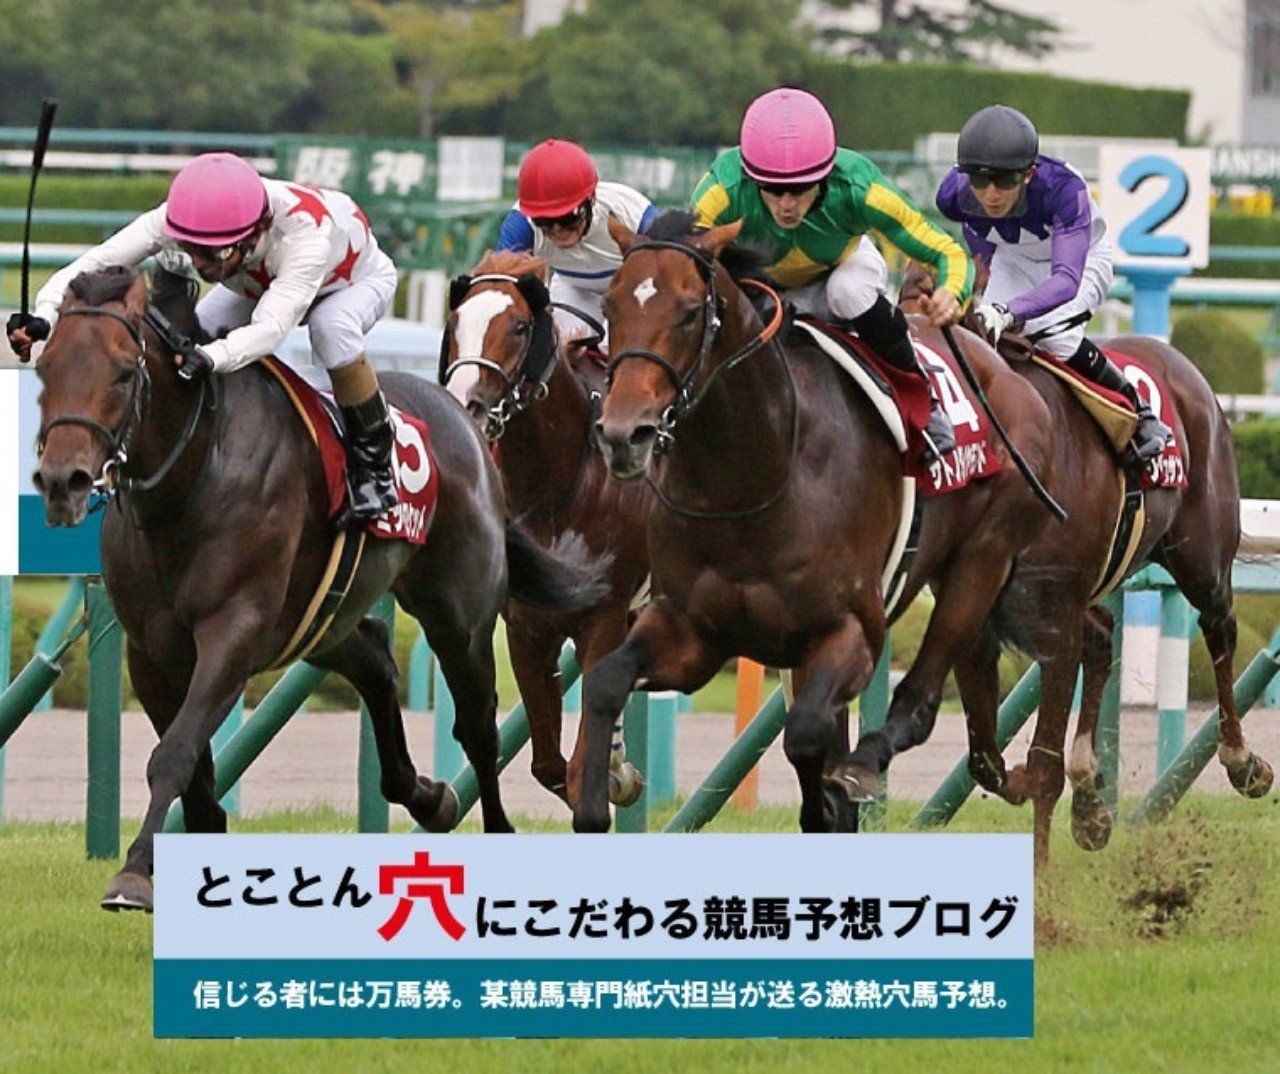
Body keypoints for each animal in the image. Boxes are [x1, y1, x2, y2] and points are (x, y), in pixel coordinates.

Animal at [32, 265, 606, 911]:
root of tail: (466, 421)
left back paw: (496, 829)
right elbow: (196, 773)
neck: (194, 476)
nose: (63, 480)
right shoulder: (151, 651)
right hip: (322, 618)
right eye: (46, 366)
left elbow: (175, 755)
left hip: (459, 614)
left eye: (124, 373)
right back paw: (426, 794)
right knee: (377, 657)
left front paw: (132, 874)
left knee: (478, 726)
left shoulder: (234, 633)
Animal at [438, 250, 652, 809]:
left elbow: (577, 771)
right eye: (455, 323)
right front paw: (616, 774)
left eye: (518, 327)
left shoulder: (602, 618)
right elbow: (549, 767)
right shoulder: (526, 628)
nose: (465, 403)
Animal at [578, 209, 1059, 835]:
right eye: (610, 305)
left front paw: (832, 797)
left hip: (983, 558)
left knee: (923, 691)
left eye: (687, 311)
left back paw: (870, 763)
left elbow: (806, 734)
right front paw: (594, 806)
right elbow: (606, 680)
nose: (622, 434)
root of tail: (1005, 369)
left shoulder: (849, 630)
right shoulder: (690, 631)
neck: (754, 480)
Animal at [898, 260, 1272, 860]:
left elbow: (1041, 764)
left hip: (1202, 557)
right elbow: (985, 759)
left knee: (1219, 627)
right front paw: (1060, 797)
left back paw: (1243, 763)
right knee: (1101, 636)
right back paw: (1091, 805)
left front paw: (1041, 870)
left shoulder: (1054, 619)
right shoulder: (977, 618)